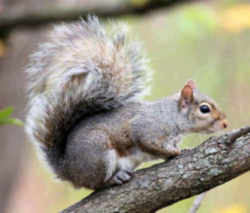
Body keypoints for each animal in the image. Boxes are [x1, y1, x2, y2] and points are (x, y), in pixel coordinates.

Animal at [25, 16, 229, 190]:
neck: (171, 116)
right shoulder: (148, 128)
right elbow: (147, 142)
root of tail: (68, 170)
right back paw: (113, 179)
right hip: (99, 153)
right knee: (95, 184)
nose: (226, 123)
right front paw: (175, 153)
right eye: (204, 109)